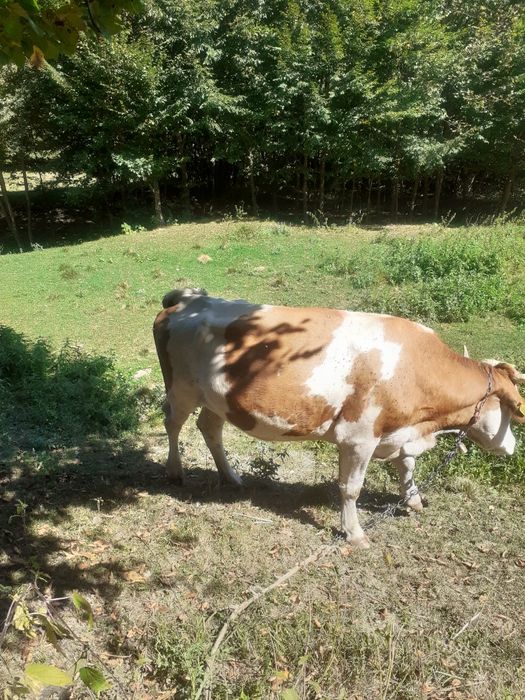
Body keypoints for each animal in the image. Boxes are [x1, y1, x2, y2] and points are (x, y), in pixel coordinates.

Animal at [153, 288, 525, 548]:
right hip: (182, 389)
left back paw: (231, 476)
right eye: (509, 410)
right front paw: (354, 533)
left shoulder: (397, 431)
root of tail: (189, 298)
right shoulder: (359, 436)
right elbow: (350, 488)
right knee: (173, 423)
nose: (512, 447)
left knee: (209, 427)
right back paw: (174, 472)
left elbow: (407, 465)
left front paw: (413, 499)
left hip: (218, 399)